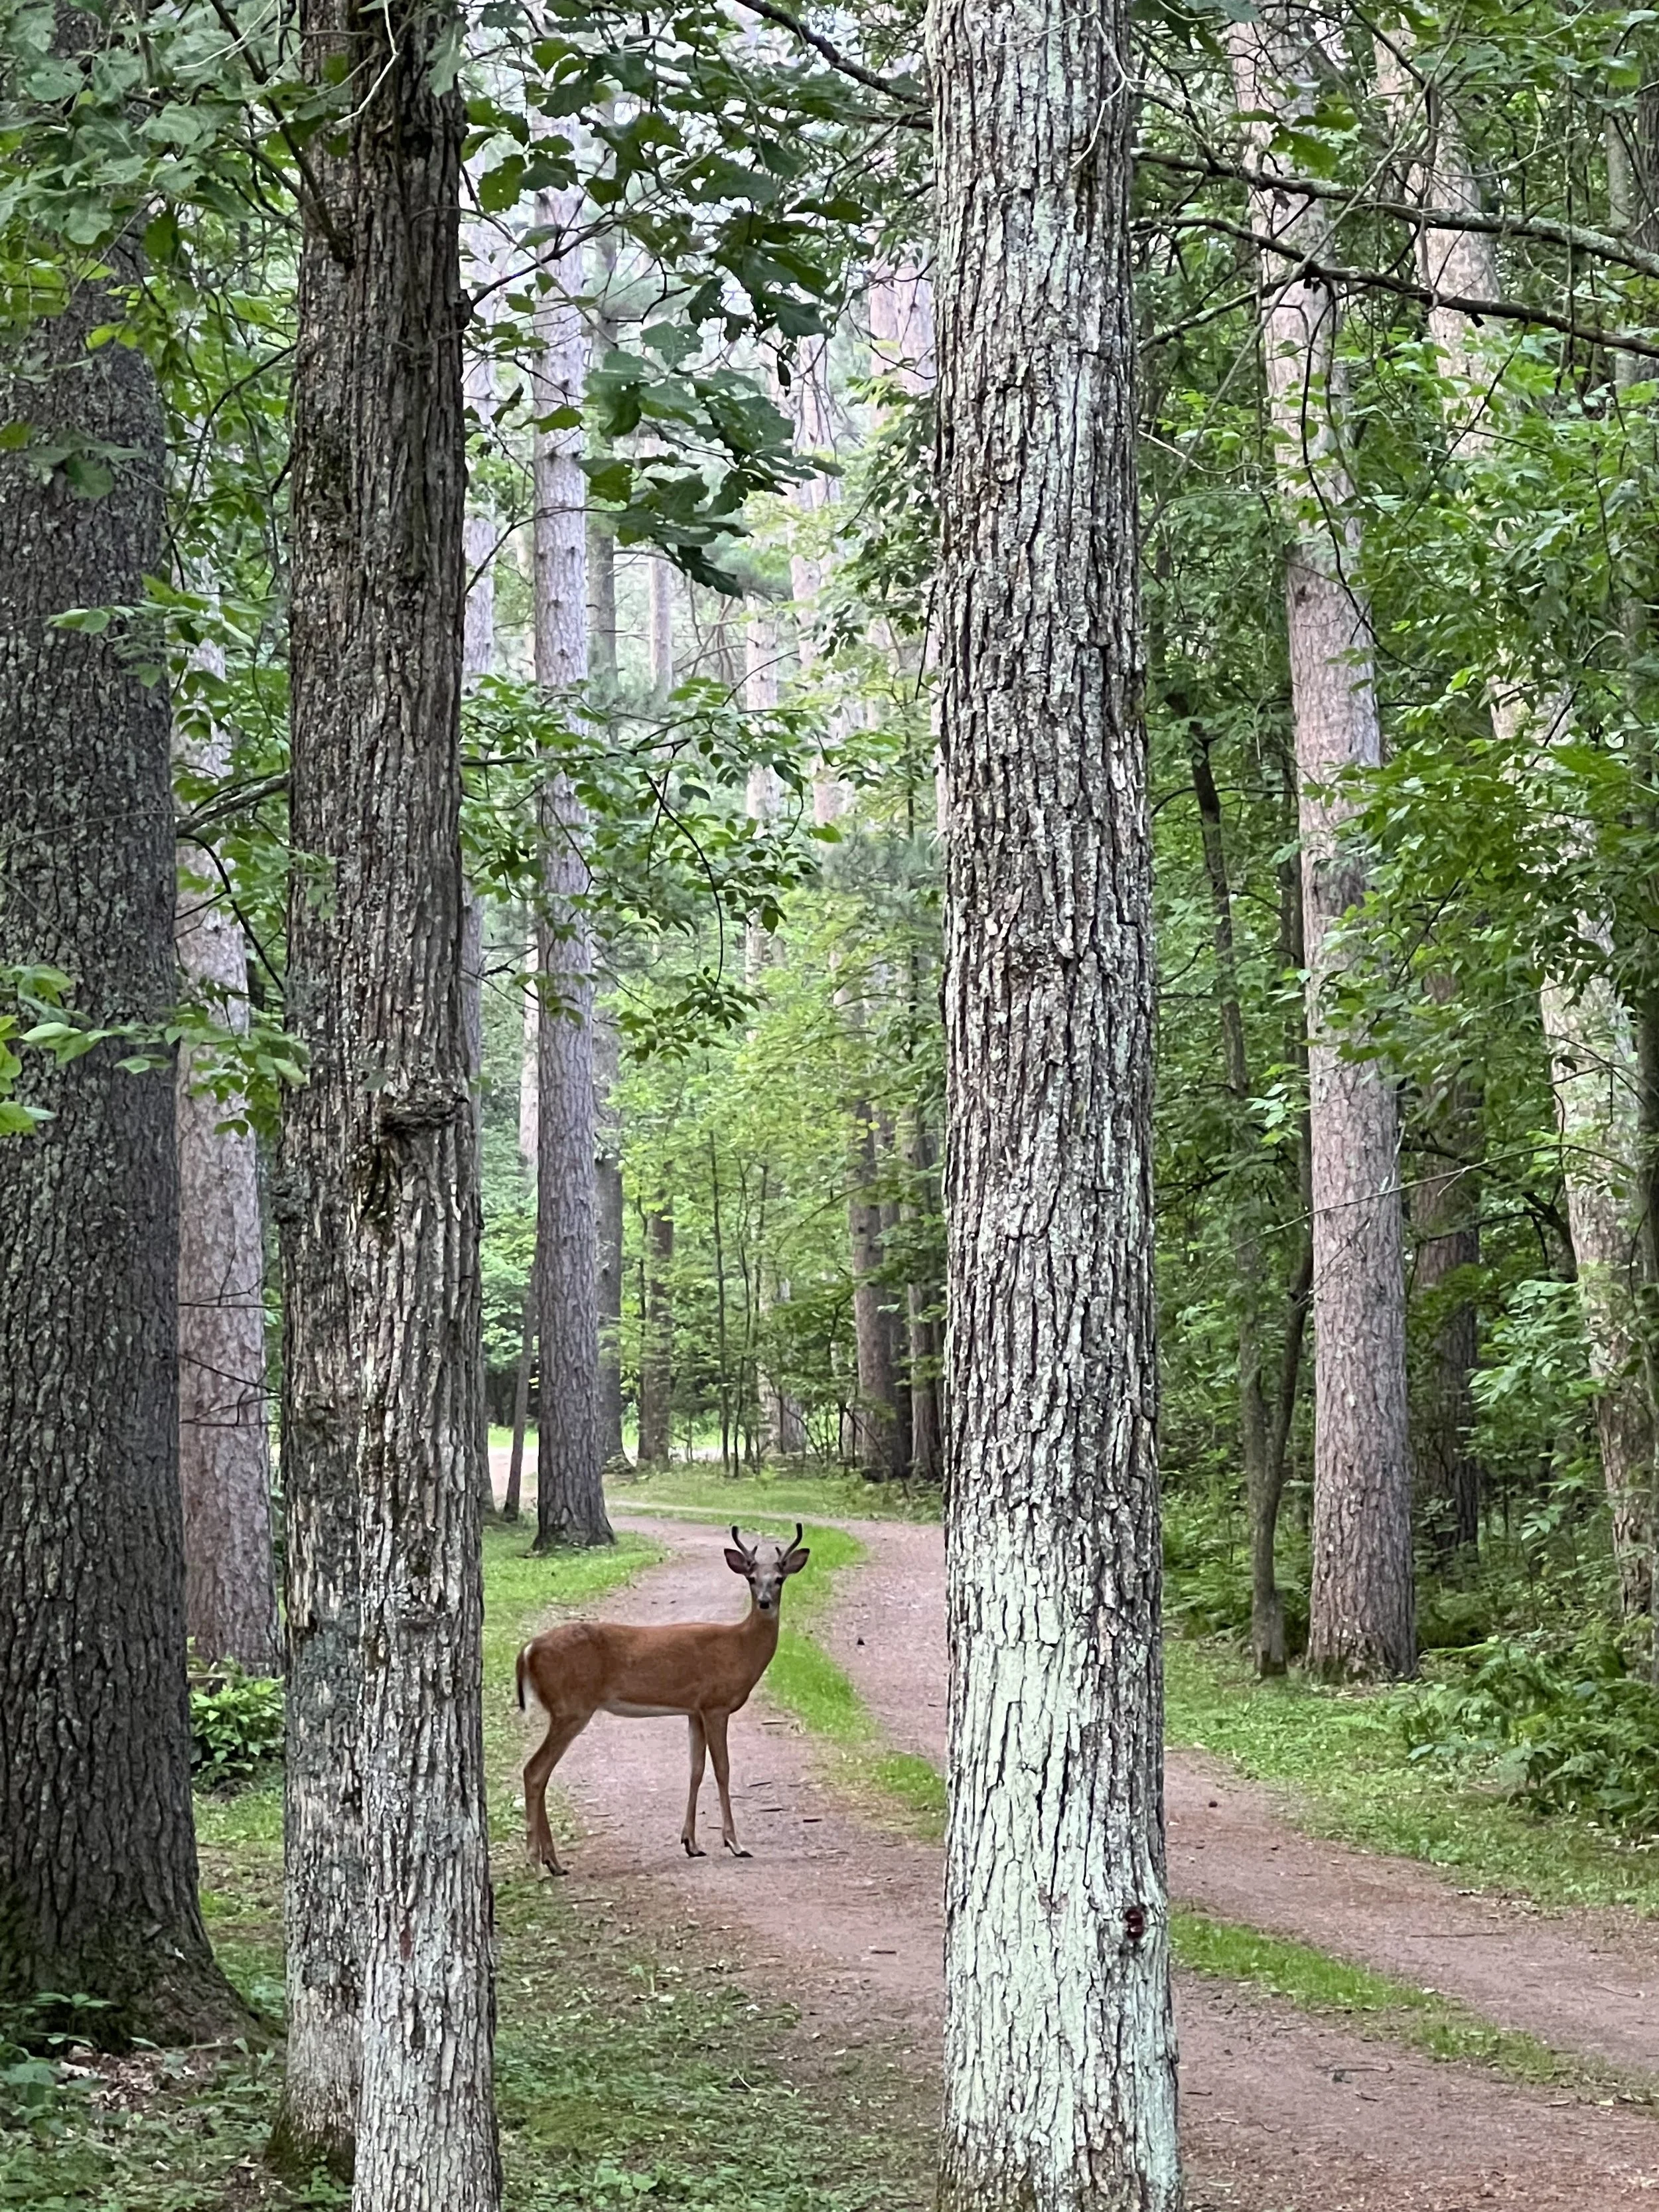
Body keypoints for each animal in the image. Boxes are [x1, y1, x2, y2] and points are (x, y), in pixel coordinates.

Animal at [514, 1522, 810, 1874]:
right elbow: (722, 1769)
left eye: (779, 1579)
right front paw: (734, 1843)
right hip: (572, 1707)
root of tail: (529, 1649)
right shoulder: (716, 1704)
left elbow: (695, 1769)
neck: (740, 1649)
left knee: (542, 1774)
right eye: (752, 1579)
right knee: (534, 1771)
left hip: (563, 1709)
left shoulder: (694, 1709)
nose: (764, 1602)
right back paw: (535, 1861)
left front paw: (691, 1843)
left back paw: (553, 1862)